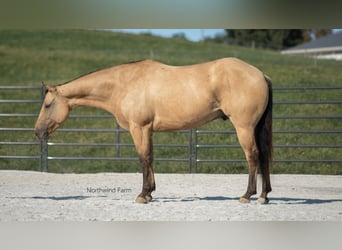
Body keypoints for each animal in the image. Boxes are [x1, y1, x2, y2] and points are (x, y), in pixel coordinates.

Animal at [34, 57, 272, 204]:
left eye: (47, 105)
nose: (37, 132)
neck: (123, 84)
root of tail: (261, 74)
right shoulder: (147, 130)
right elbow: (150, 157)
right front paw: (150, 193)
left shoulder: (139, 128)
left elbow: (143, 158)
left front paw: (143, 194)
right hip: (255, 128)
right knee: (263, 157)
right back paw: (264, 195)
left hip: (244, 128)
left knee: (253, 156)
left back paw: (248, 195)